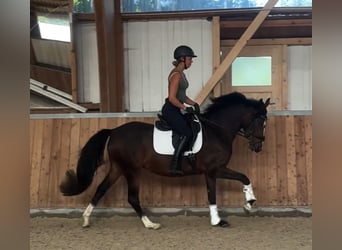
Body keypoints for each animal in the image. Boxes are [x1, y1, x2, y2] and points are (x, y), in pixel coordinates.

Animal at [60, 92, 272, 229]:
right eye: (260, 121)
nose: (258, 147)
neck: (216, 130)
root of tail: (113, 132)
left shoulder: (215, 170)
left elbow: (242, 178)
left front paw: (248, 203)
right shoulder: (213, 170)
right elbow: (220, 191)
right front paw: (222, 218)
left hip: (118, 168)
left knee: (101, 189)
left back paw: (86, 219)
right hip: (132, 170)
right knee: (132, 197)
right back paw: (150, 224)